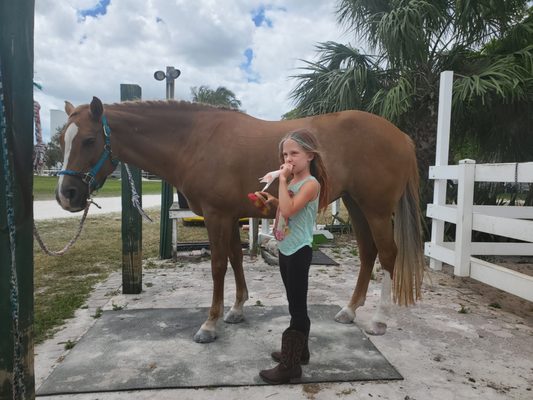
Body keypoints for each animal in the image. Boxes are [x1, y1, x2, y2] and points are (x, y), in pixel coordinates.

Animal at [56, 97, 424, 344]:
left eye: (89, 139)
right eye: (62, 141)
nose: (66, 195)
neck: (194, 139)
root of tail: (401, 137)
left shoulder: (217, 216)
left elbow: (219, 265)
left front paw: (209, 324)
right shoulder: (230, 216)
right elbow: (235, 259)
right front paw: (236, 310)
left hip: (376, 210)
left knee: (388, 255)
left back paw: (378, 320)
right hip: (356, 205)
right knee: (367, 253)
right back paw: (349, 311)